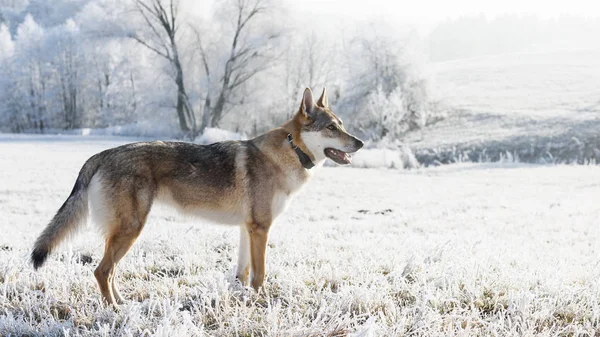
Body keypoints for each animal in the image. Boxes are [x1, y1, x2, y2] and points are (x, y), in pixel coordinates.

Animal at [30, 87, 364, 304]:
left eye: (342, 125)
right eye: (332, 128)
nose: (360, 142)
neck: (290, 151)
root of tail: (101, 154)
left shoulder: (247, 229)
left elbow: (242, 273)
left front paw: (241, 301)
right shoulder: (261, 229)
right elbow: (260, 275)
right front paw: (262, 304)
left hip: (125, 234)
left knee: (107, 273)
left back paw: (123, 303)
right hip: (130, 231)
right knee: (101, 272)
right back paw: (115, 310)